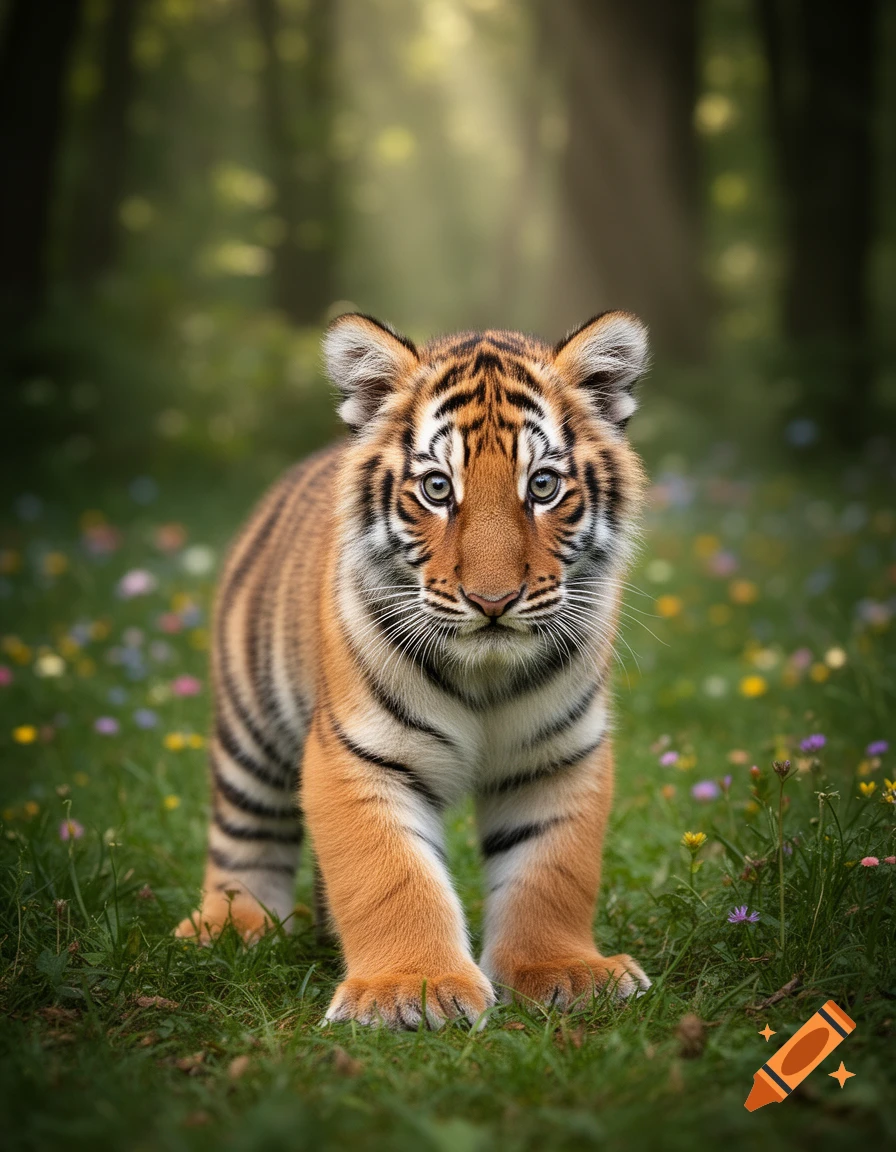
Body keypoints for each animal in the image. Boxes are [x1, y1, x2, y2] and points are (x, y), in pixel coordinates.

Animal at [175, 309, 653, 1028]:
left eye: (542, 487)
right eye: (437, 489)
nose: (492, 600)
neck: (485, 679)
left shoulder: (558, 757)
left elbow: (552, 870)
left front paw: (563, 971)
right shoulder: (357, 754)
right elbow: (390, 875)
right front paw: (410, 990)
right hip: (250, 727)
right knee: (244, 831)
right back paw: (234, 926)